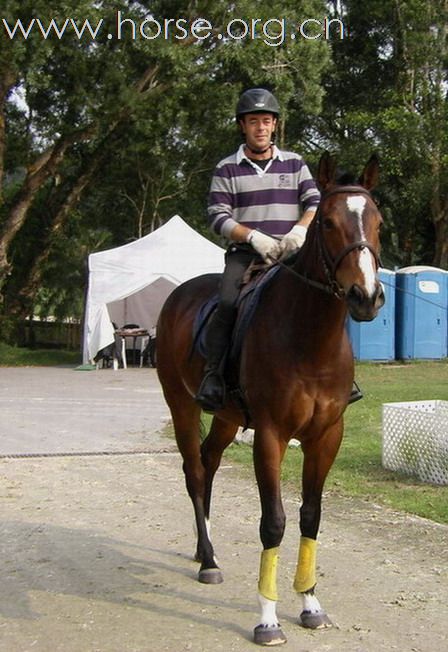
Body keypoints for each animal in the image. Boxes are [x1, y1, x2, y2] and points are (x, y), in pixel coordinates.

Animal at [156, 154, 384, 648]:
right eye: (328, 223)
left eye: (377, 222)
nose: (366, 297)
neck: (308, 339)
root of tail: (178, 294)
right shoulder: (271, 436)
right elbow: (273, 522)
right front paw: (268, 618)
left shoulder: (326, 437)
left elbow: (311, 517)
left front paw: (311, 604)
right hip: (181, 405)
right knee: (193, 470)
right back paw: (208, 560)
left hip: (225, 418)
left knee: (209, 462)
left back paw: (205, 547)